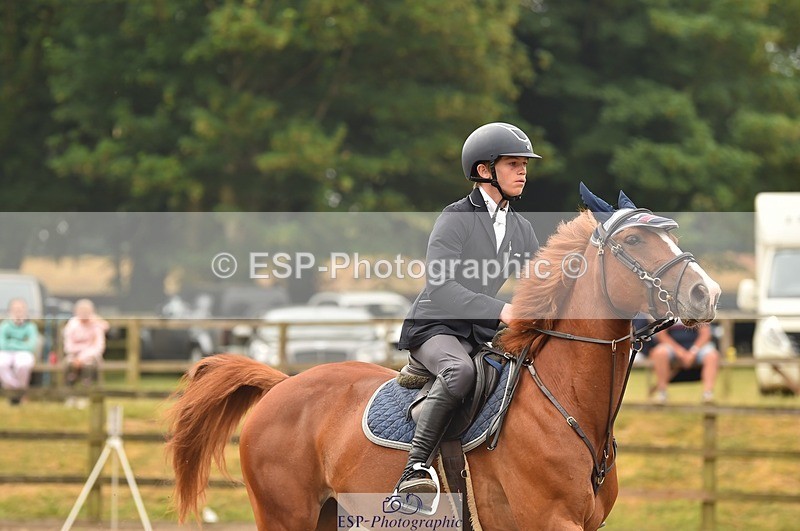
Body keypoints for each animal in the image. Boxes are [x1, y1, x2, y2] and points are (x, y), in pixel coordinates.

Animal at [167, 190, 720, 530]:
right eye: (634, 239)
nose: (707, 293)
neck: (566, 401)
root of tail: (281, 384)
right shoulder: (549, 520)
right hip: (286, 515)